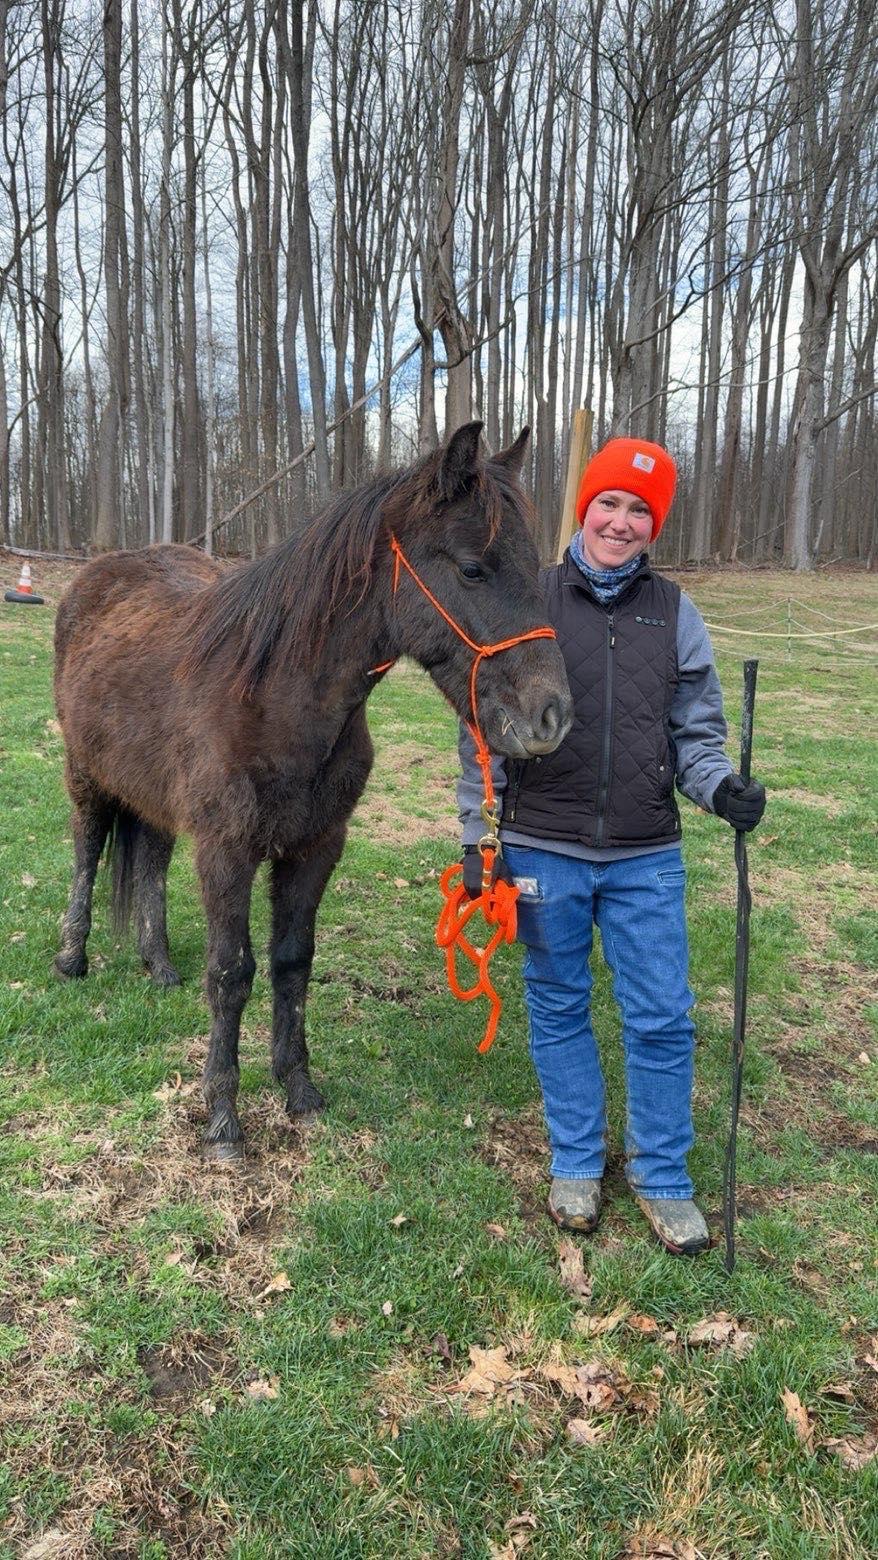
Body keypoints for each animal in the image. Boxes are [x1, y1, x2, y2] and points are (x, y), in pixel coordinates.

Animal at [53, 422, 573, 1159]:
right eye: (473, 568)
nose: (552, 717)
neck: (275, 697)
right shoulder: (227, 852)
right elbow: (231, 973)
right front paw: (223, 1120)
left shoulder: (316, 847)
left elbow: (292, 963)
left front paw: (298, 1089)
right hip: (87, 776)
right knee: (86, 850)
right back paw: (71, 956)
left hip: (149, 792)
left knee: (149, 860)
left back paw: (158, 966)